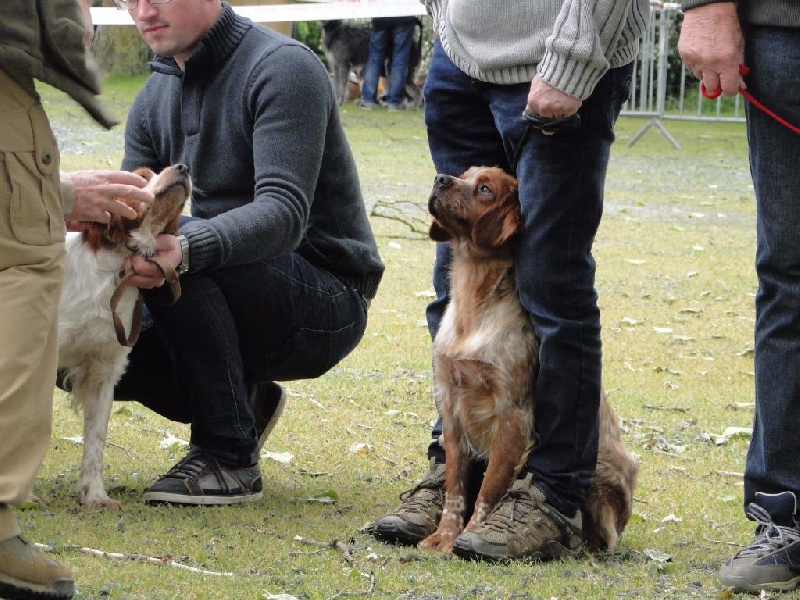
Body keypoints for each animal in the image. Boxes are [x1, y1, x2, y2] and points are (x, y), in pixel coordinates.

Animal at [418, 166, 636, 556]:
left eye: (485, 189)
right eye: (464, 174)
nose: (441, 178)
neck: (475, 304)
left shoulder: (512, 420)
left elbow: (488, 491)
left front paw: (471, 535)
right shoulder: (452, 411)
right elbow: (455, 488)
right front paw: (444, 535)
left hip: (599, 467)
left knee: (592, 533)